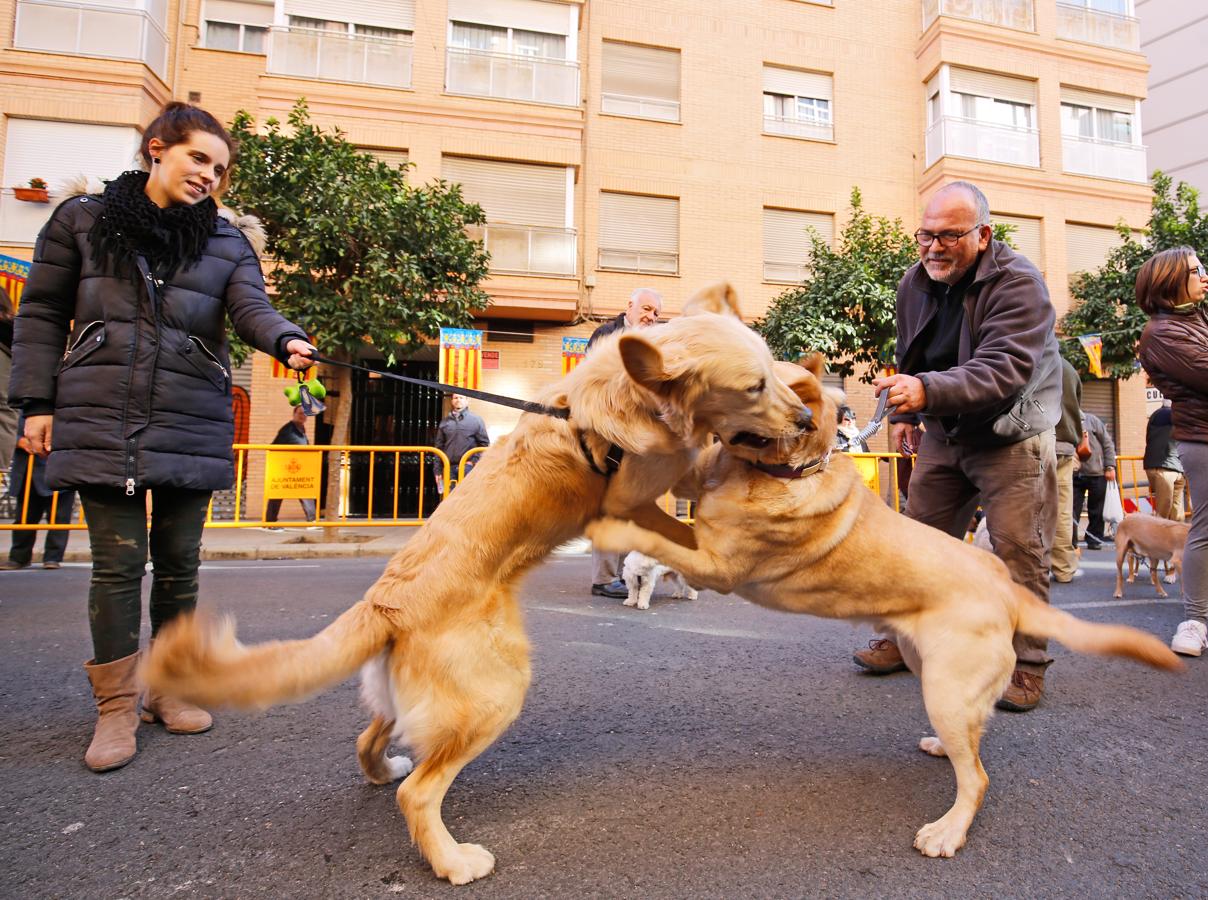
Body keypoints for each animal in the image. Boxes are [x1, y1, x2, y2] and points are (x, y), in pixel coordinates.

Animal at [146, 286, 816, 884]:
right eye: (753, 386)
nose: (808, 418)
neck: (629, 397)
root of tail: (383, 604)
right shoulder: (640, 491)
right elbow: (690, 496)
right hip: (495, 692)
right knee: (419, 794)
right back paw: (453, 861)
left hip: (414, 700)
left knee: (370, 740)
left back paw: (383, 770)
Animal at [584, 355, 1179, 855]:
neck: (779, 468)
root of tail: (1006, 586)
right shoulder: (697, 484)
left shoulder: (715, 564)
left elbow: (652, 539)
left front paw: (608, 527)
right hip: (929, 669)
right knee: (975, 738)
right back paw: (944, 747)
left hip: (944, 687)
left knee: (977, 777)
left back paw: (947, 831)